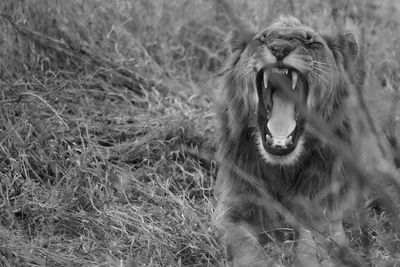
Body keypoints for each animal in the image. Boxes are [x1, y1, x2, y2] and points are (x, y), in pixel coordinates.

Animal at [212, 16, 360, 267]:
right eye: (262, 39)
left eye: (311, 42)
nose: (279, 48)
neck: (282, 170)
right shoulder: (230, 210)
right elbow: (245, 247)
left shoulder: (326, 217)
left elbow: (313, 245)